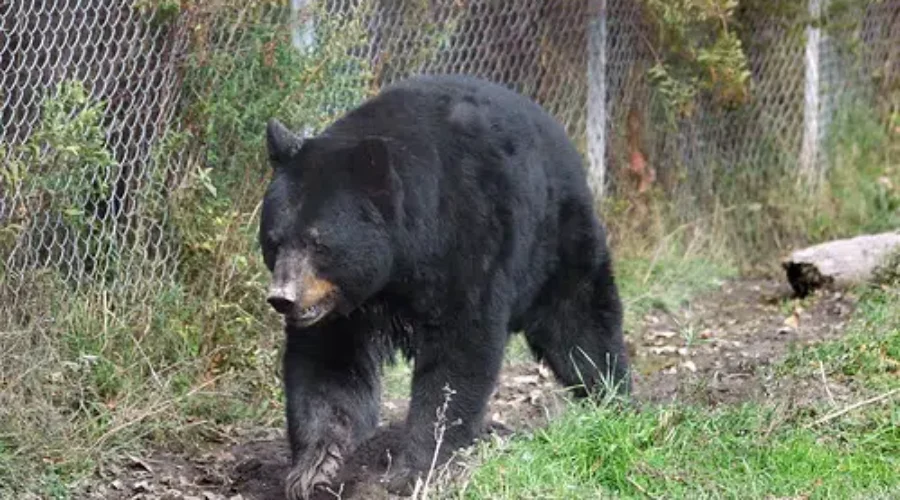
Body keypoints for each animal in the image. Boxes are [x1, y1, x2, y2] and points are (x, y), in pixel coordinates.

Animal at [259, 74, 631, 499]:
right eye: (274, 241)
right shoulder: (340, 308)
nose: (283, 298)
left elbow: (457, 358)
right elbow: (329, 367)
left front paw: (418, 469)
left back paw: (615, 399)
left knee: (581, 323)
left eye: (318, 243)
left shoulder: (469, 243)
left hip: (556, 238)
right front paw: (314, 469)